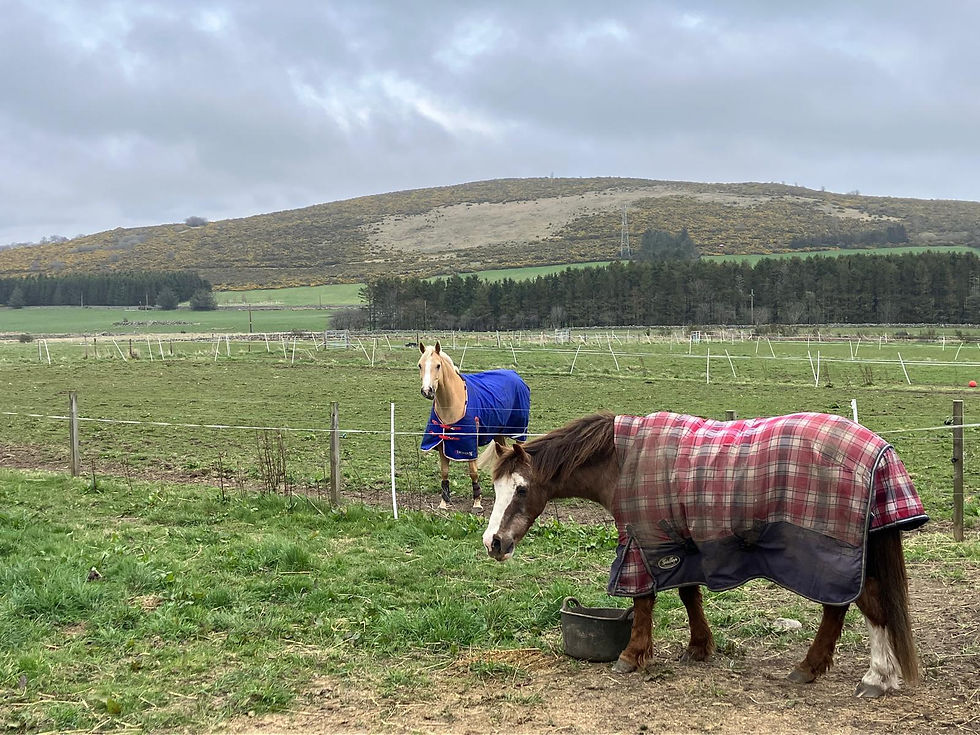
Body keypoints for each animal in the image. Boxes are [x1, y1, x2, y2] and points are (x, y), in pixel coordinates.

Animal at [417, 341, 531, 511]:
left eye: (438, 365)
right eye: (420, 365)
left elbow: (473, 472)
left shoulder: (469, 447)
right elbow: (444, 472)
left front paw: (477, 502)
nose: (427, 391)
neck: (452, 404)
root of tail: (515, 375)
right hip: (497, 433)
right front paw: (444, 502)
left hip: (518, 431)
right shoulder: (443, 445)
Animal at [481, 410, 929, 697]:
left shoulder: (642, 543)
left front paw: (632, 655)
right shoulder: (684, 544)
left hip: (833, 553)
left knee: (868, 606)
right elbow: (688, 594)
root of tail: (880, 450)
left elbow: (644, 600)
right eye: (495, 487)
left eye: (521, 489)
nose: (493, 543)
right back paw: (815, 669)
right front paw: (699, 648)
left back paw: (875, 678)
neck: (623, 461)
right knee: (842, 608)